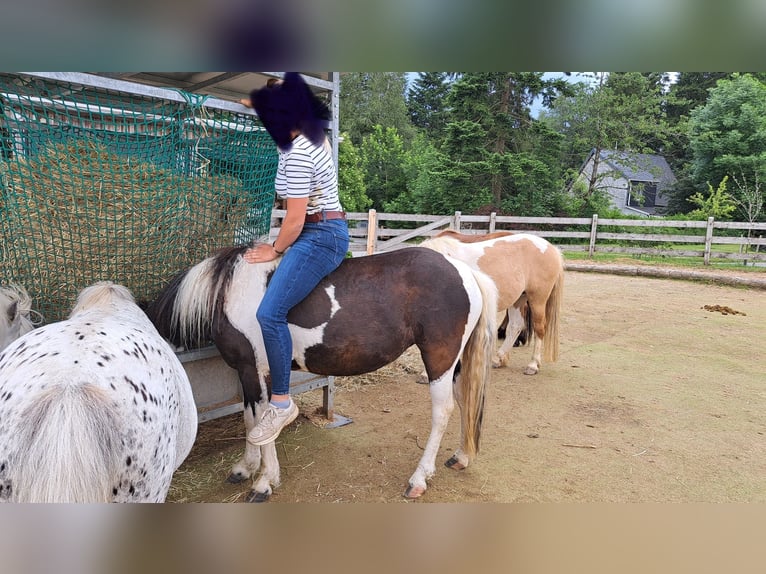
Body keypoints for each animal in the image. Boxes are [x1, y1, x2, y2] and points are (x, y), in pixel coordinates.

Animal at [148, 245, 500, 502]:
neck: (230, 290)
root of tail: (465, 271)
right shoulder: (249, 372)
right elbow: (251, 420)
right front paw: (246, 468)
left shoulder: (255, 369)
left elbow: (262, 421)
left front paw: (264, 481)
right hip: (456, 362)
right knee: (465, 400)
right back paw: (461, 456)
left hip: (439, 358)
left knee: (442, 411)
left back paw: (419, 478)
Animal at [420, 230, 564, 378]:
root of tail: (551, 248)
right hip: (519, 299)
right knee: (515, 326)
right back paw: (499, 359)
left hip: (537, 299)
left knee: (539, 328)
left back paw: (533, 365)